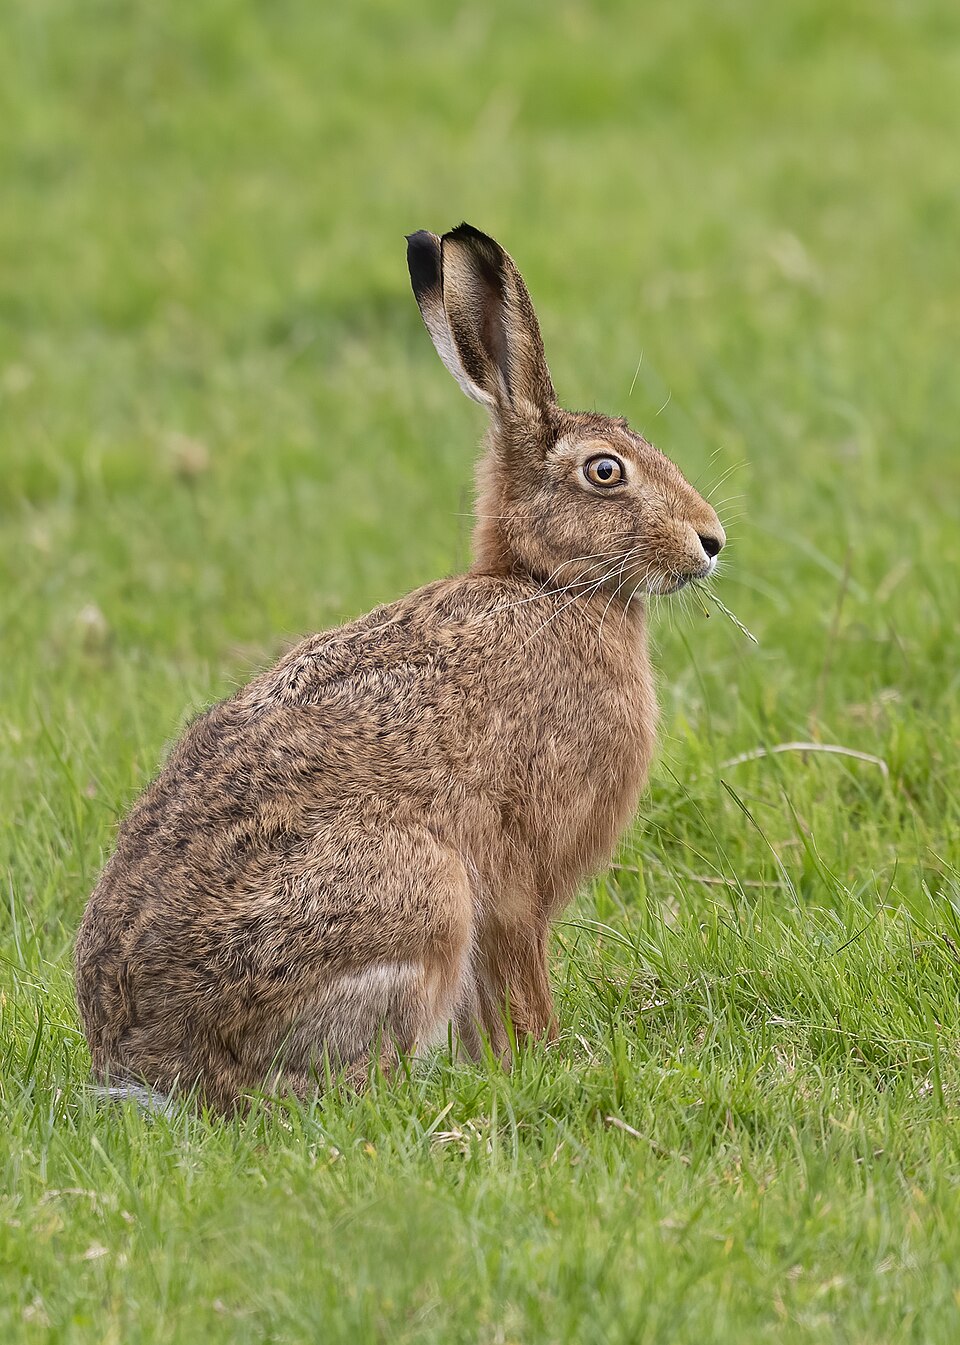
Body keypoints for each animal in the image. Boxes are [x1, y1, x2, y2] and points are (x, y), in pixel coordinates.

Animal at [75, 223, 725, 1114]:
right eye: (605, 471)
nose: (712, 539)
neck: (548, 584)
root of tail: (150, 1066)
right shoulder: (516, 882)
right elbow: (522, 977)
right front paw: (550, 1059)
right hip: (419, 896)